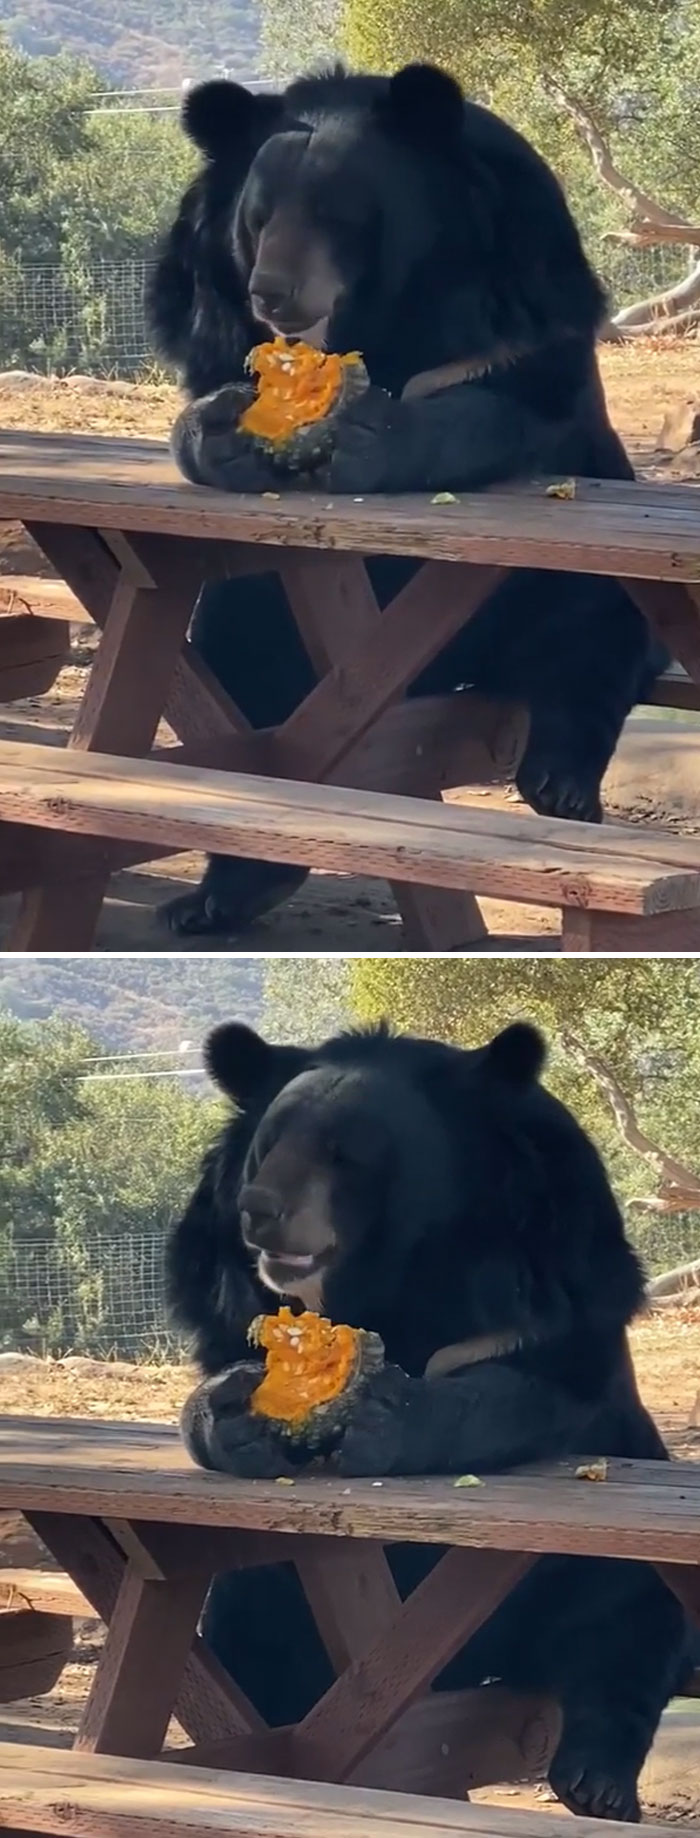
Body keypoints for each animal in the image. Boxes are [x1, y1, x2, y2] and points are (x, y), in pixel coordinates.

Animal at [147, 63, 666, 939]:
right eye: (256, 219)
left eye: (338, 214)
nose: (272, 293)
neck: (386, 315)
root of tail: (448, 673)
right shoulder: (207, 301)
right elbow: (212, 384)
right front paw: (228, 430)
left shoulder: (522, 273)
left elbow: (508, 397)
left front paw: (367, 432)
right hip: (271, 612)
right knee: (241, 655)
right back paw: (222, 892)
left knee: (593, 626)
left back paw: (561, 780)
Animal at [168, 1016, 692, 1822]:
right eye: (267, 1145)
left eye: (345, 1153)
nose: (260, 1209)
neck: (398, 1280)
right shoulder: (226, 1286)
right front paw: (236, 1415)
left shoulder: (555, 1271)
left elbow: (528, 1387)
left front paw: (387, 1417)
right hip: (278, 1595)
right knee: (249, 1643)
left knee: (624, 1615)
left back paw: (598, 1781)